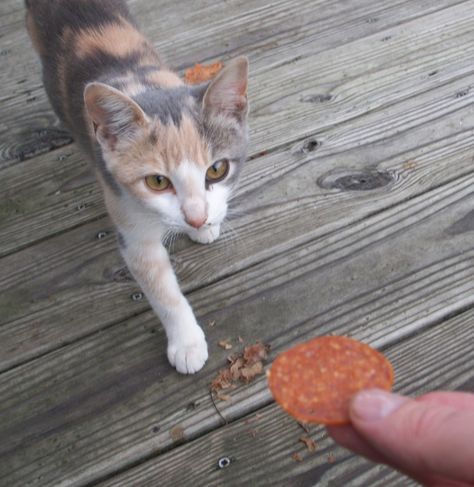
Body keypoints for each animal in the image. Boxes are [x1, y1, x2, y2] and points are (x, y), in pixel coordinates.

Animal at [25, 0, 248, 374]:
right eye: (157, 182)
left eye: (217, 170)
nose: (196, 218)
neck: (143, 85)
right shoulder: (127, 216)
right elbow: (161, 289)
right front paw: (186, 343)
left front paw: (206, 227)